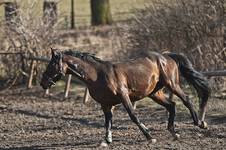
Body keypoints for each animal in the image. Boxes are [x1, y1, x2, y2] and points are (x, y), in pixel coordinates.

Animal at [40, 49, 210, 144]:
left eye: (51, 64)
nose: (43, 82)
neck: (97, 75)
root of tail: (166, 56)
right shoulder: (105, 104)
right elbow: (108, 121)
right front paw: (107, 140)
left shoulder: (123, 96)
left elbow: (133, 116)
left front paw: (150, 137)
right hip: (155, 93)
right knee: (172, 106)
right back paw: (174, 133)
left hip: (172, 84)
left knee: (186, 100)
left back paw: (200, 123)